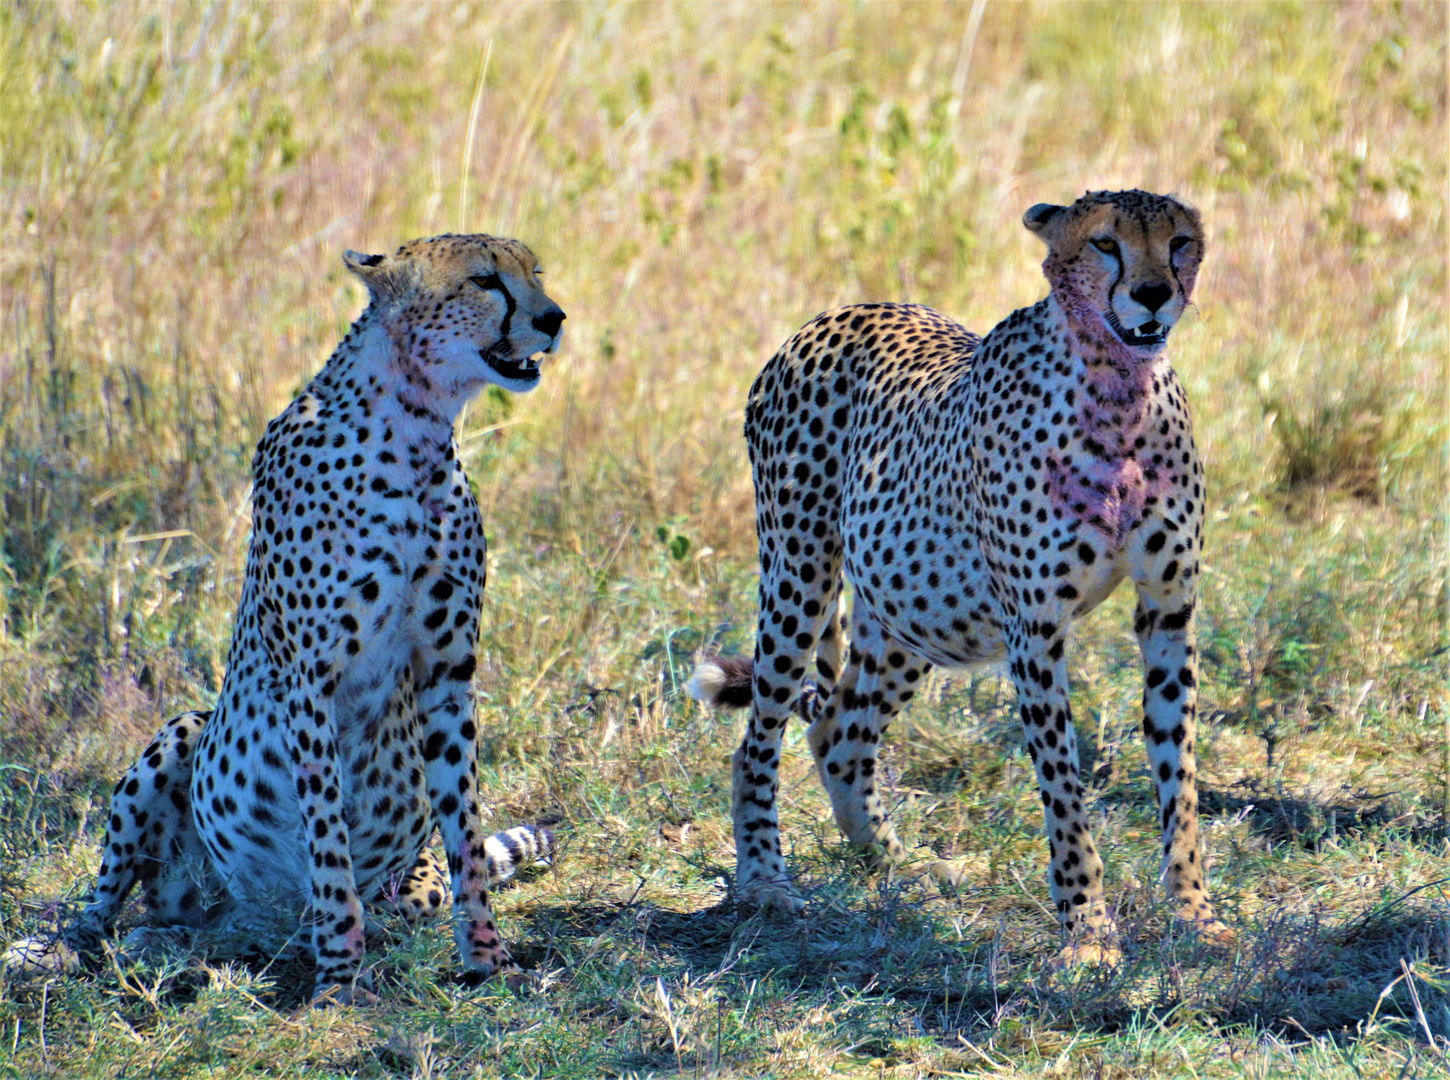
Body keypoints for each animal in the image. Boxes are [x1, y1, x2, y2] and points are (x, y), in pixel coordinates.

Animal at [9, 231, 565, 997]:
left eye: (535, 273)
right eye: (486, 280)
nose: (555, 318)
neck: (418, 423)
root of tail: (236, 912)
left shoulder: (449, 675)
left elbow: (468, 838)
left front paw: (488, 960)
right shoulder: (311, 678)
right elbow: (328, 843)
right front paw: (340, 980)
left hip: (389, 885)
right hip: (185, 730)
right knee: (109, 907)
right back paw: (72, 949)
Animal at [693, 187, 1235, 962]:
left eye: (1179, 241)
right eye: (1105, 243)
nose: (1154, 293)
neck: (1117, 394)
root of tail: (836, 314)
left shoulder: (1168, 611)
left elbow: (1179, 776)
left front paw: (1194, 914)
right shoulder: (1035, 630)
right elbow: (1064, 790)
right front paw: (1088, 932)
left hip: (917, 609)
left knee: (838, 729)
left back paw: (902, 864)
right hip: (800, 575)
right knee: (759, 740)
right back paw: (765, 879)